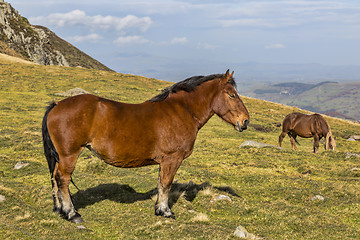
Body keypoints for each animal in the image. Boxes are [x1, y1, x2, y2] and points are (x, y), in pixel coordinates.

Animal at [42, 70, 249, 223]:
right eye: (232, 95)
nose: (245, 121)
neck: (182, 111)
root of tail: (56, 106)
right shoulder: (172, 159)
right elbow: (166, 184)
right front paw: (165, 211)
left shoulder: (165, 161)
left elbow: (161, 183)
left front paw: (159, 209)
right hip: (69, 155)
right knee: (63, 180)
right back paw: (71, 213)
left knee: (54, 178)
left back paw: (59, 209)